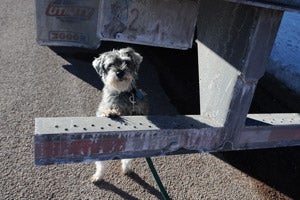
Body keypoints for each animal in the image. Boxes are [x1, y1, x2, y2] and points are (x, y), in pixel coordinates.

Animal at [90, 47, 149, 183]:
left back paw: (126, 169)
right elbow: (105, 111)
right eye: (110, 65)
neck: (122, 92)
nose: (120, 72)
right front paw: (109, 112)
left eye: (126, 62)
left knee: (126, 160)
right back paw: (98, 176)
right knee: (101, 164)